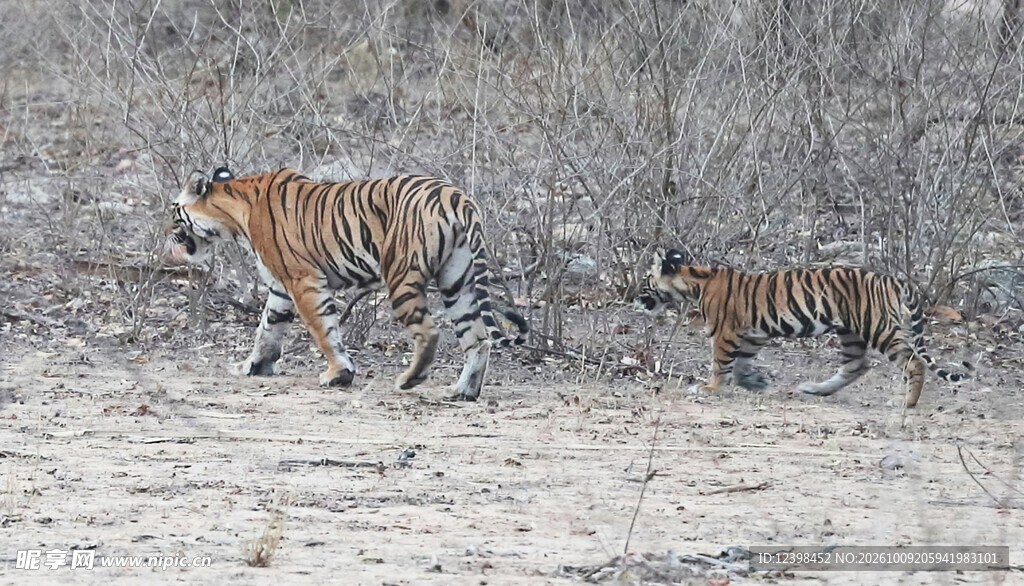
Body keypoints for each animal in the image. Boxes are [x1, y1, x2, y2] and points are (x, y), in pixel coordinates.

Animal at [164, 167, 528, 401]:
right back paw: (462, 391)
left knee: (429, 332)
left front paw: (339, 373)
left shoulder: (303, 280)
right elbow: (267, 328)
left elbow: (323, 330)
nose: (167, 233)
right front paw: (253, 365)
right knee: (478, 339)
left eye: (174, 214)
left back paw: (410, 380)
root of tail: (457, 198)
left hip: (402, 276)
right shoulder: (281, 288)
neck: (235, 212)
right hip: (458, 281)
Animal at [635, 249, 972, 407]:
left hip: (878, 327)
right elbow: (741, 364)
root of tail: (894, 279)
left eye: (646, 280)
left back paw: (907, 403)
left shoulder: (726, 333)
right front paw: (755, 382)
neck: (694, 281)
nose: (635, 297)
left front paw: (709, 388)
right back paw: (816, 389)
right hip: (851, 332)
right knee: (857, 366)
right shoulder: (753, 335)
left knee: (914, 362)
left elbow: (721, 364)